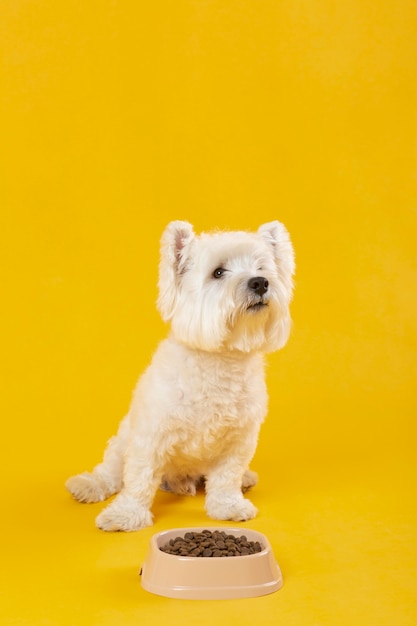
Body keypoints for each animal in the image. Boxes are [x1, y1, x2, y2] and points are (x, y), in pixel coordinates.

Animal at [66, 217, 292, 528]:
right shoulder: (151, 435)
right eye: (218, 272)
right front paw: (126, 514)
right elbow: (139, 478)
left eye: (261, 268)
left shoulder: (239, 440)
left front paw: (228, 506)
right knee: (111, 472)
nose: (260, 282)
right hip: (122, 441)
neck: (220, 362)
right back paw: (88, 485)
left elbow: (226, 477)